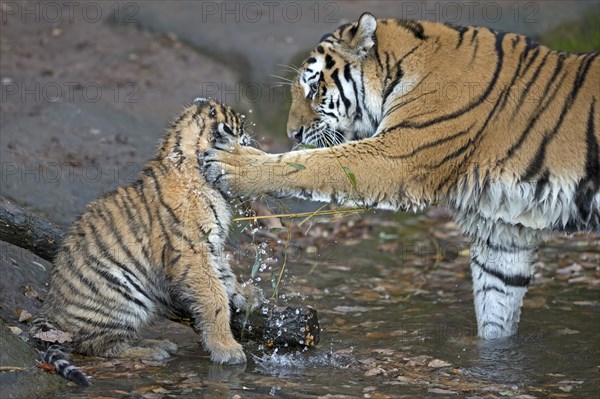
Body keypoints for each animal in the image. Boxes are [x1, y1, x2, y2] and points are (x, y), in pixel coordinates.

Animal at [204, 14, 596, 340]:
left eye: (313, 89)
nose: (293, 133)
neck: (403, 65)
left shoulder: (397, 156)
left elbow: (314, 164)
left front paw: (232, 163)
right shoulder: (501, 229)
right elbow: (497, 310)